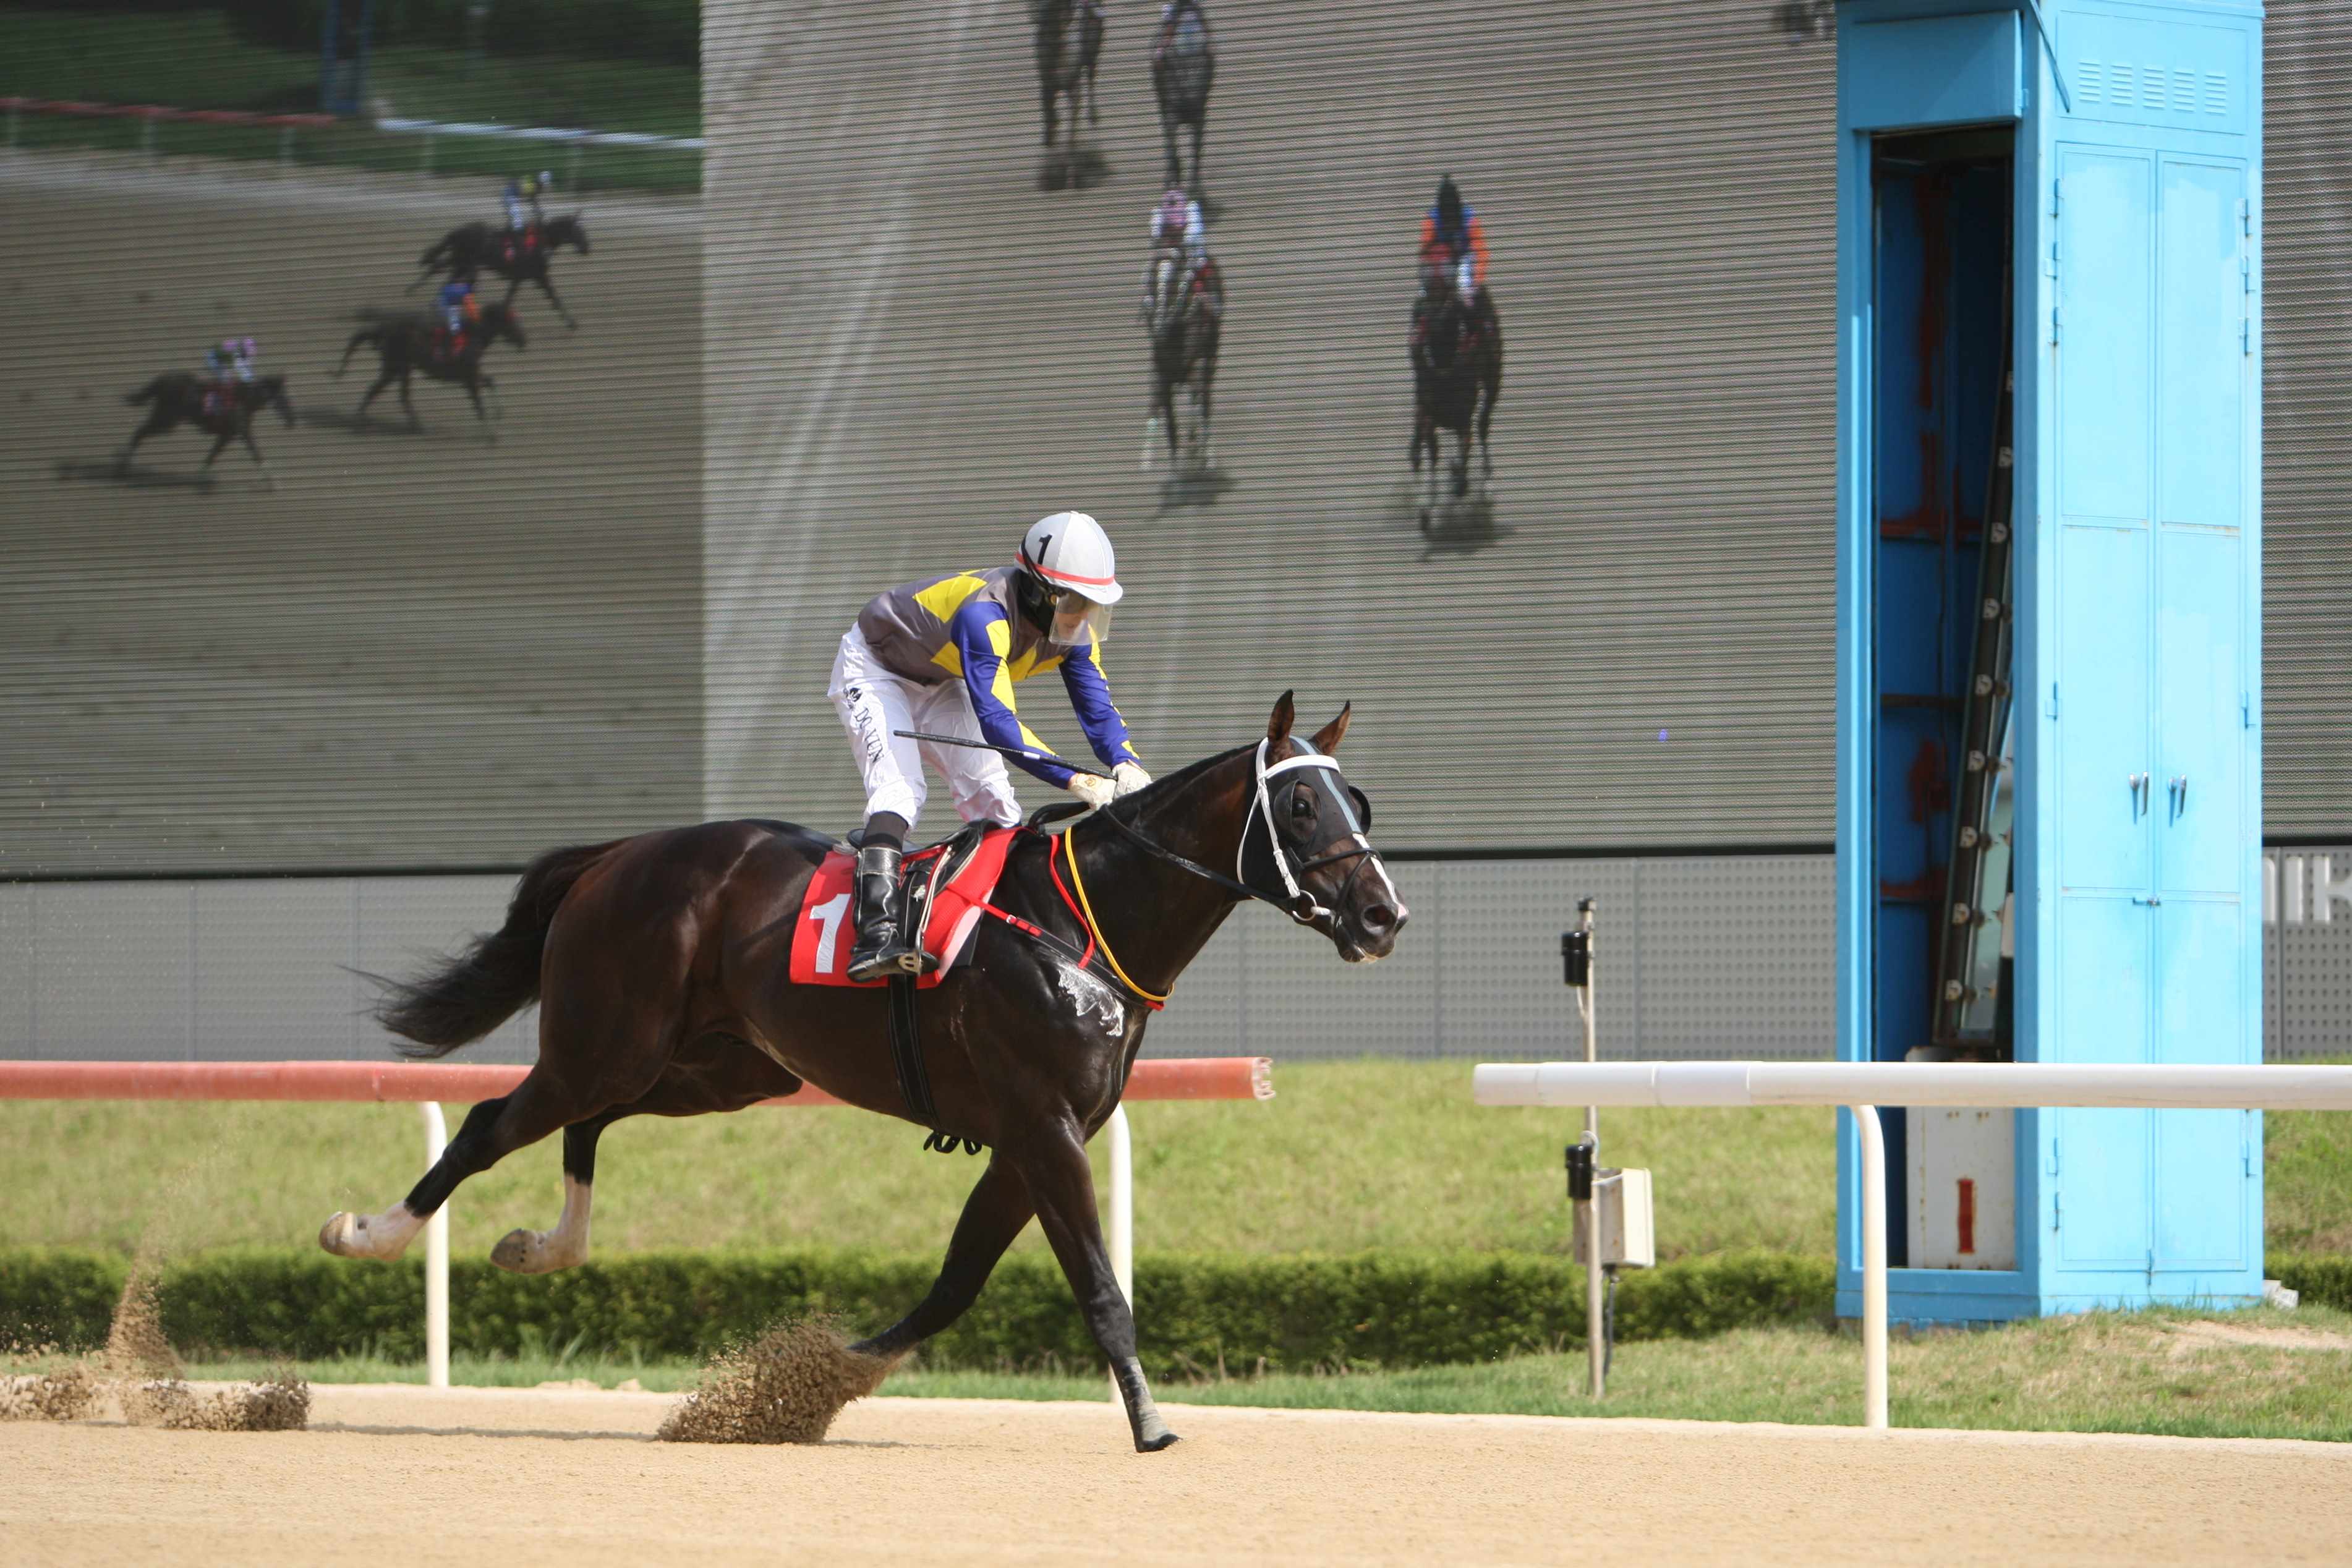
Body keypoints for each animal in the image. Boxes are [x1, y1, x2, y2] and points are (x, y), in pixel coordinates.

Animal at [324, 691, 1402, 1457]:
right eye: (1300, 804)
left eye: (1358, 801)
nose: (1383, 913)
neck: (1083, 921)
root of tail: (616, 856)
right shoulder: (1043, 1127)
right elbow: (1098, 1286)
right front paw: (1150, 1425)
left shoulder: (1026, 1143)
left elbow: (954, 1286)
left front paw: (803, 1386)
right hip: (604, 1043)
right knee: (488, 1124)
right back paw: (368, 1233)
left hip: (717, 1068)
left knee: (587, 1124)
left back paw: (542, 1248)